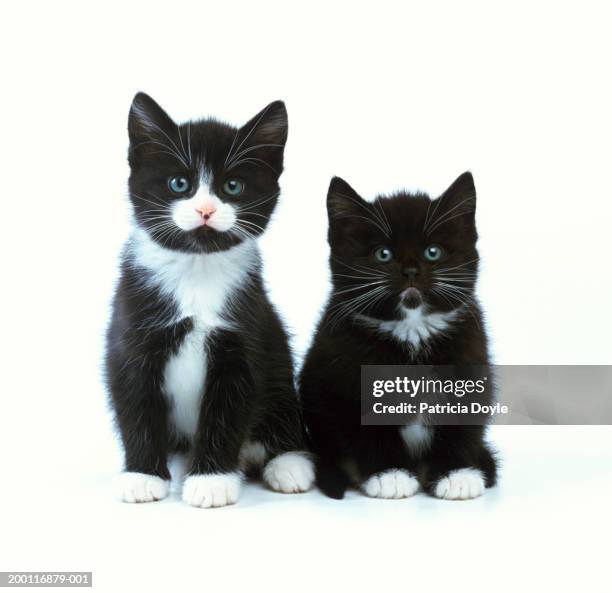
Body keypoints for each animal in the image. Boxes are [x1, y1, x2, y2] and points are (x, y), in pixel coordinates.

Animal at [106, 93, 314, 508]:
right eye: (179, 183)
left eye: (232, 186)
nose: (206, 210)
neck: (196, 271)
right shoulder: (132, 331)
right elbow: (135, 399)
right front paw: (142, 475)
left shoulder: (245, 337)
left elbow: (229, 408)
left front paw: (212, 480)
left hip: (278, 356)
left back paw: (287, 464)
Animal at [300, 171, 498, 500]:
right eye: (383, 254)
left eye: (433, 251)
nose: (411, 270)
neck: (411, 331)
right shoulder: (342, 378)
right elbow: (365, 427)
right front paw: (389, 475)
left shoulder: (470, 361)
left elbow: (463, 421)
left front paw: (457, 474)